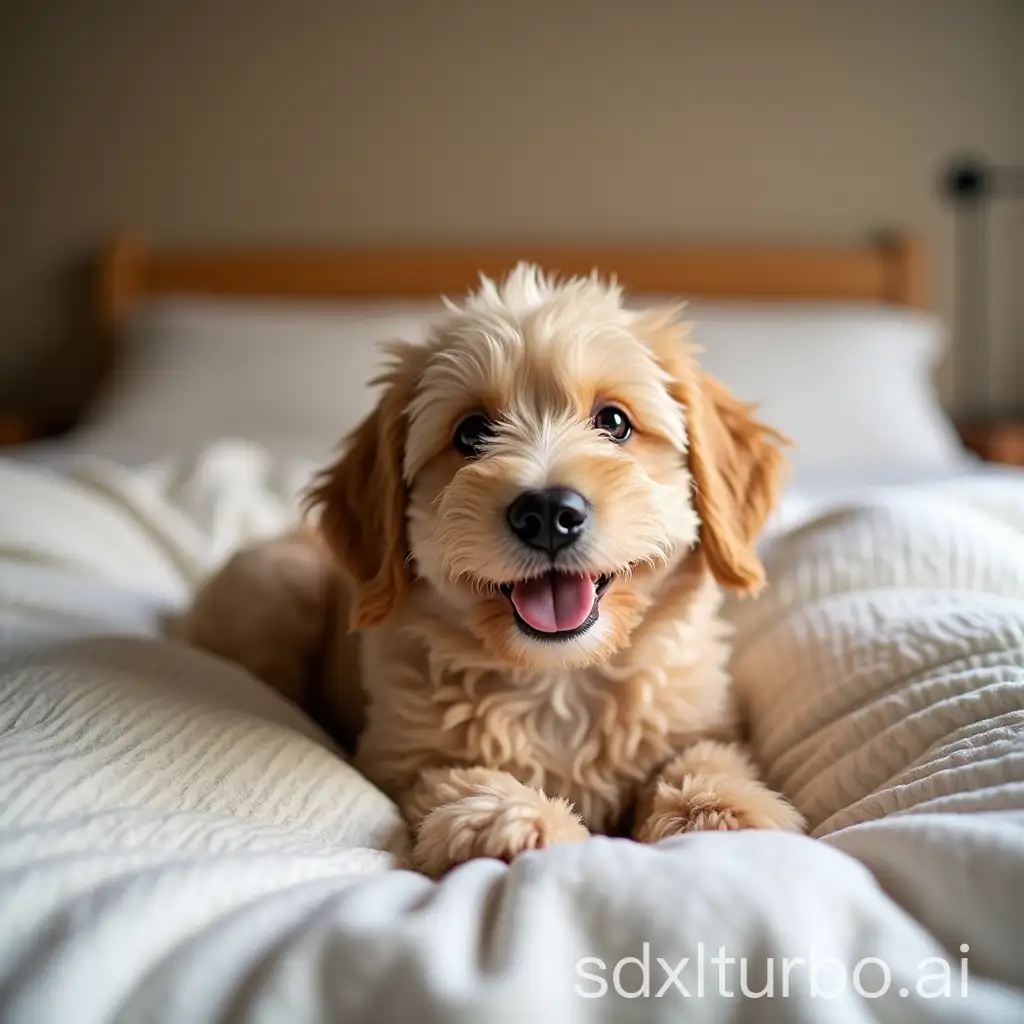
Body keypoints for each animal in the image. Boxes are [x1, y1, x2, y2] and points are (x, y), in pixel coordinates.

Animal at [184, 264, 806, 872]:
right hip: (271, 587)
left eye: (614, 421)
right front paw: (512, 820)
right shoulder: (405, 756)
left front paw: (721, 811)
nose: (548, 513)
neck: (560, 681)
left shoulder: (703, 716)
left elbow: (706, 756)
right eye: (471, 432)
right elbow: (456, 778)